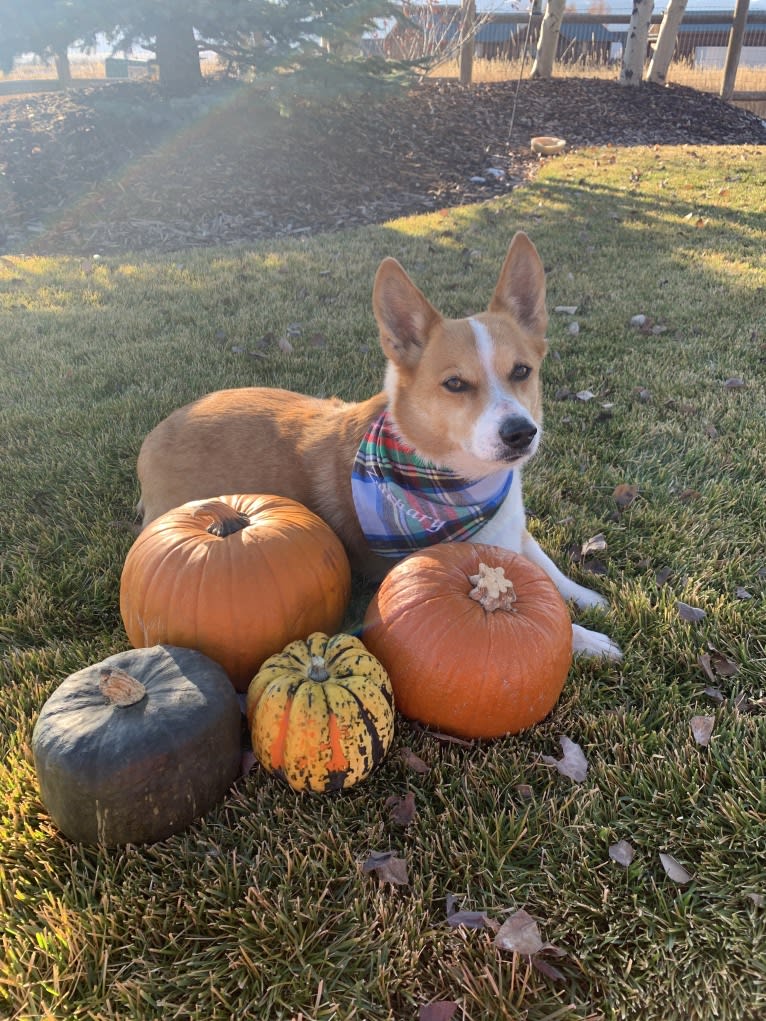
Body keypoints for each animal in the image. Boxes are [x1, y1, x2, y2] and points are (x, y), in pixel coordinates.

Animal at [137, 230, 625, 657]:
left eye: (521, 371)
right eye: (455, 384)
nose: (521, 432)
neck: (460, 480)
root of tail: (155, 435)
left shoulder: (516, 531)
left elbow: (546, 565)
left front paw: (587, 596)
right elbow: (543, 618)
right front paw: (587, 638)